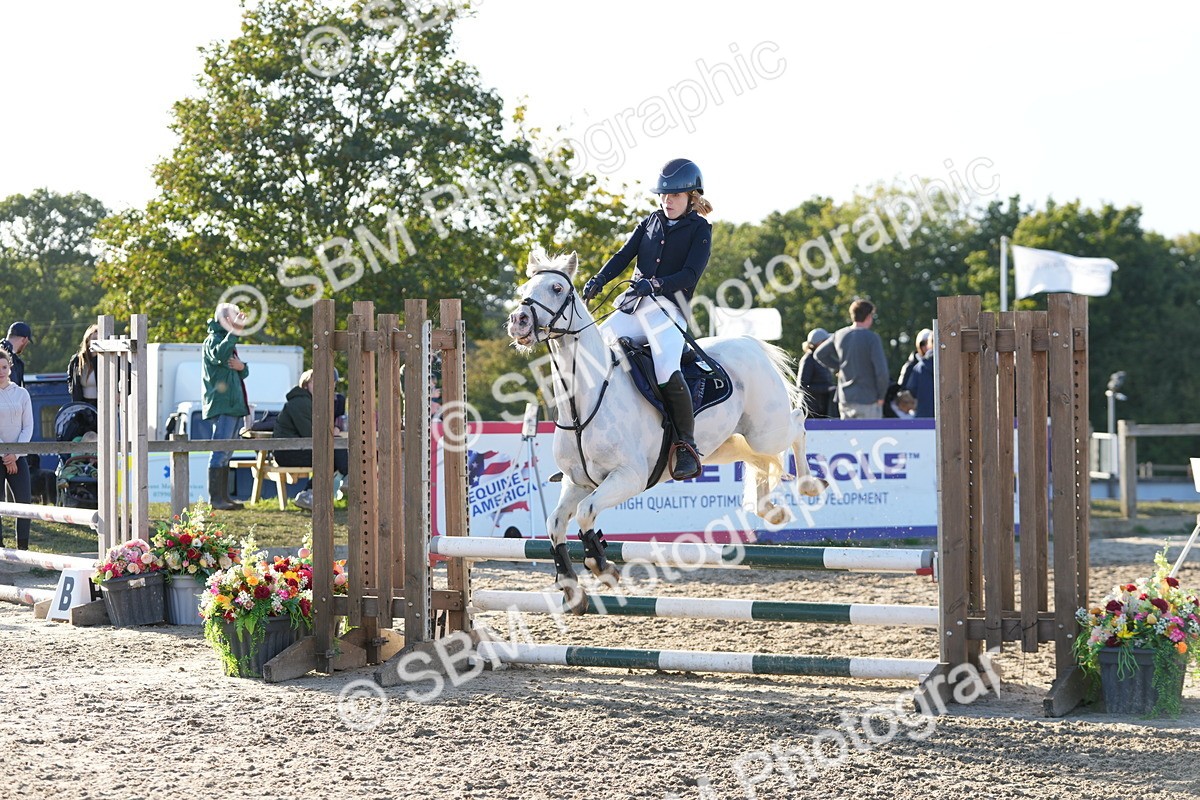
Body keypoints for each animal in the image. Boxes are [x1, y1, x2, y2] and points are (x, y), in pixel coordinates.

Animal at [506, 249, 825, 612]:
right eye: (524, 288)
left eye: (557, 288)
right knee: (760, 461)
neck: (584, 401)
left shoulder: (627, 478)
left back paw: (809, 485)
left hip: (766, 430)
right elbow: (555, 524)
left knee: (798, 425)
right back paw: (770, 511)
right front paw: (571, 588)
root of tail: (749, 343)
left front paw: (603, 567)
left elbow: (587, 514)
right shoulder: (577, 482)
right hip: (728, 443)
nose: (519, 321)